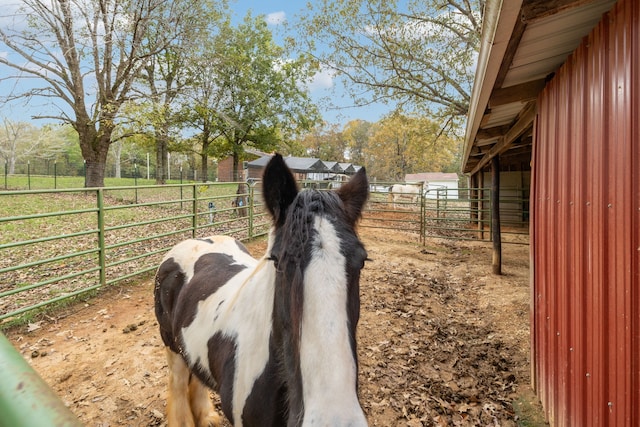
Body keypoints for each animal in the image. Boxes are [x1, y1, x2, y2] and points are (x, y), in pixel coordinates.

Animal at [154, 155, 370, 427]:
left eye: (362, 260)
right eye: (278, 261)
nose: (331, 419)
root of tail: (193, 241)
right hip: (172, 347)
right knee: (179, 385)